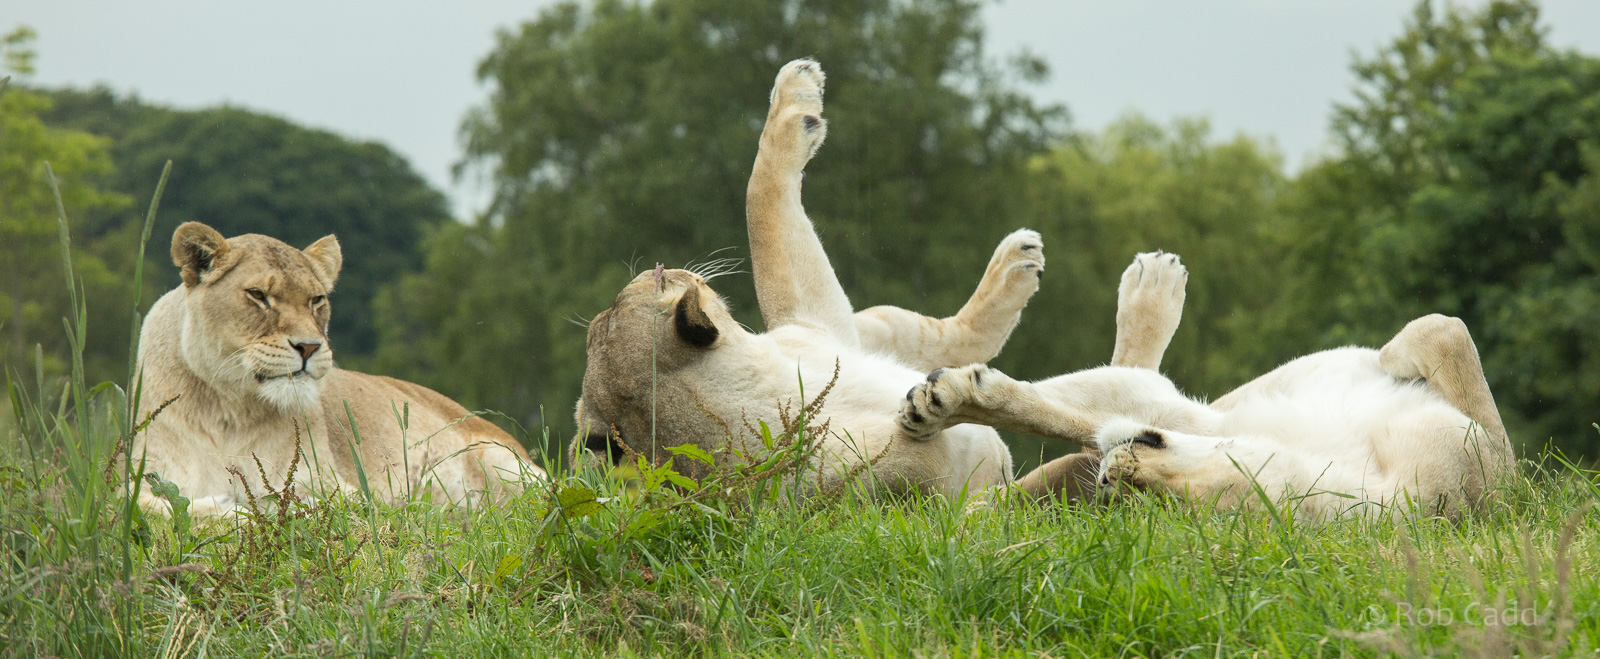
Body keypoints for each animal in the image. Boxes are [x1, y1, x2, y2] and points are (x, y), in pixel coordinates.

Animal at [131, 222, 541, 516]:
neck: (229, 413)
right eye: (258, 296)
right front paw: (222, 507)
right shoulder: (139, 478)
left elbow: (308, 504)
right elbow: (157, 507)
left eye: (316, 300)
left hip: (503, 463)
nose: (309, 347)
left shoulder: (337, 486)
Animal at [572, 59, 1067, 496]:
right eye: (659, 283)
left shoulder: (812, 324)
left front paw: (796, 88)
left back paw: (1017, 264)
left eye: (609, 310)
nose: (655, 265)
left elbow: (764, 209)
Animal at [898, 251, 1515, 519]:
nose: (1113, 474)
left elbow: (1447, 334)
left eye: (1174, 507)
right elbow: (1447, 329)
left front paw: (942, 397)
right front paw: (937, 401)